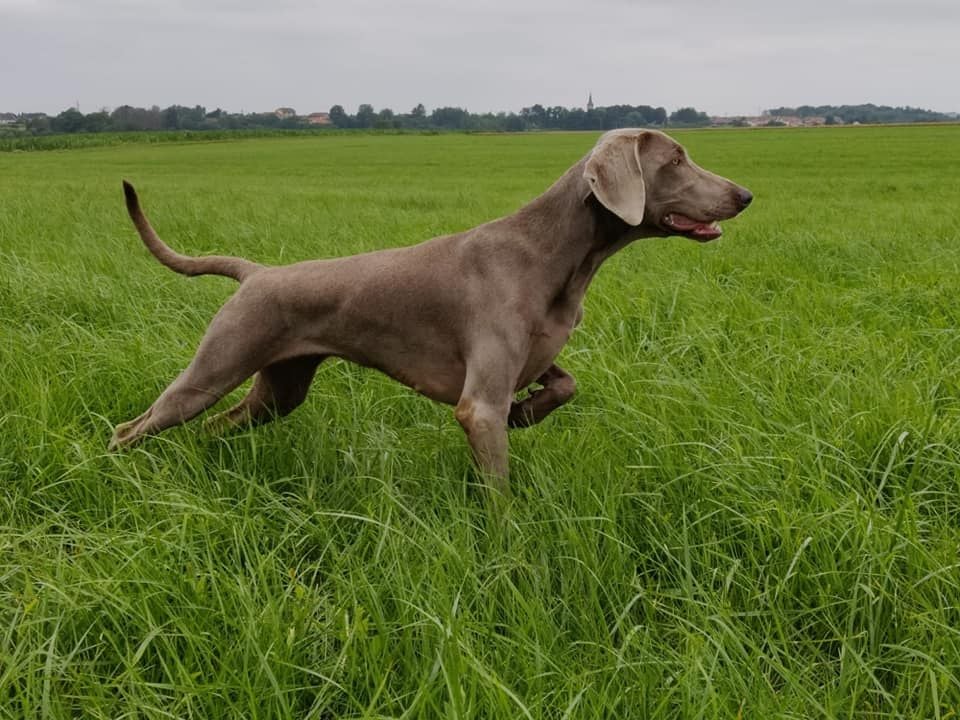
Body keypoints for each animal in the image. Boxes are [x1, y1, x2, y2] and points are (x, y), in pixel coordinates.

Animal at [112, 128, 752, 496]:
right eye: (677, 159)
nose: (745, 195)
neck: (556, 253)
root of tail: (256, 273)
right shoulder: (479, 404)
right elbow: (498, 489)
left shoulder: (532, 355)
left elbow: (566, 385)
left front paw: (529, 412)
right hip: (218, 364)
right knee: (133, 427)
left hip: (279, 390)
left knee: (217, 425)